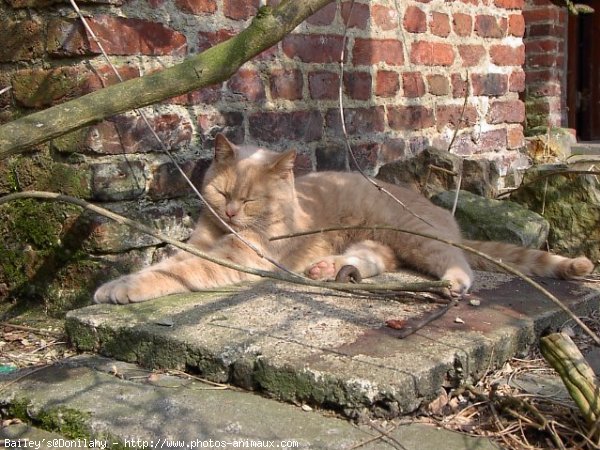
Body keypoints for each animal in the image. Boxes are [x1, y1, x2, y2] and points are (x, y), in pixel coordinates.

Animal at [91, 133, 592, 302]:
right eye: (222, 193)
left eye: (250, 201)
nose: (231, 212)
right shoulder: (202, 241)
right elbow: (173, 259)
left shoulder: (238, 255)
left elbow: (176, 270)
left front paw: (119, 288)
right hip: (378, 240)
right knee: (377, 258)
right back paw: (330, 268)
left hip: (416, 237)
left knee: (457, 263)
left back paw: (452, 283)